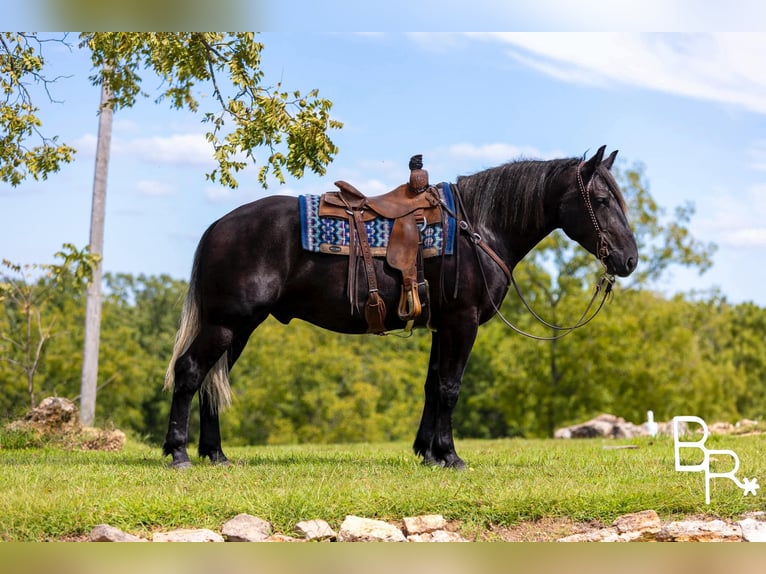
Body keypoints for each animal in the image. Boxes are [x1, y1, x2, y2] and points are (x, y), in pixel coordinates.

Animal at [164, 144, 640, 468]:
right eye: (601, 201)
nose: (629, 260)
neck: (478, 229)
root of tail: (218, 225)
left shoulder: (441, 325)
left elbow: (432, 386)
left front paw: (428, 453)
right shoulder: (462, 322)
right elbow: (450, 387)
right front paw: (450, 456)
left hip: (239, 328)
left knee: (210, 381)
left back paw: (216, 454)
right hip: (227, 323)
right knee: (190, 371)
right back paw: (179, 453)